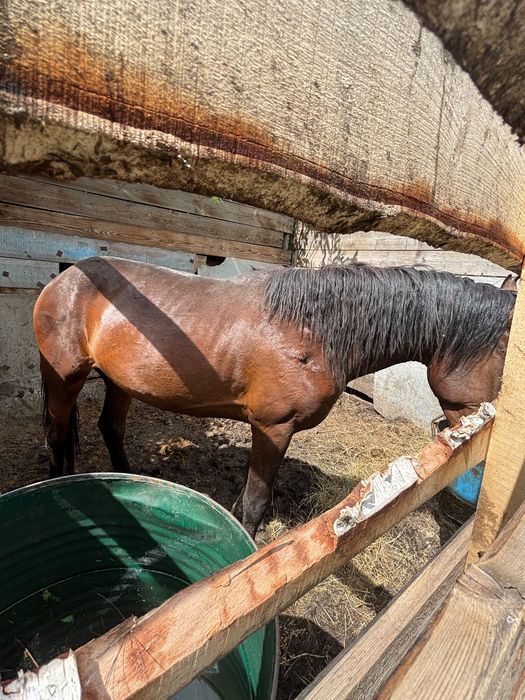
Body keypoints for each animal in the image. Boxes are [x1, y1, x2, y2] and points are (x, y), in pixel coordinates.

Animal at [33, 256, 516, 536]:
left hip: (121, 383)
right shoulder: (272, 427)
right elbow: (255, 500)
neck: (316, 329)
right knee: (57, 434)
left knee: (110, 428)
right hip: (65, 377)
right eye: (509, 363)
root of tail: (66, 277)